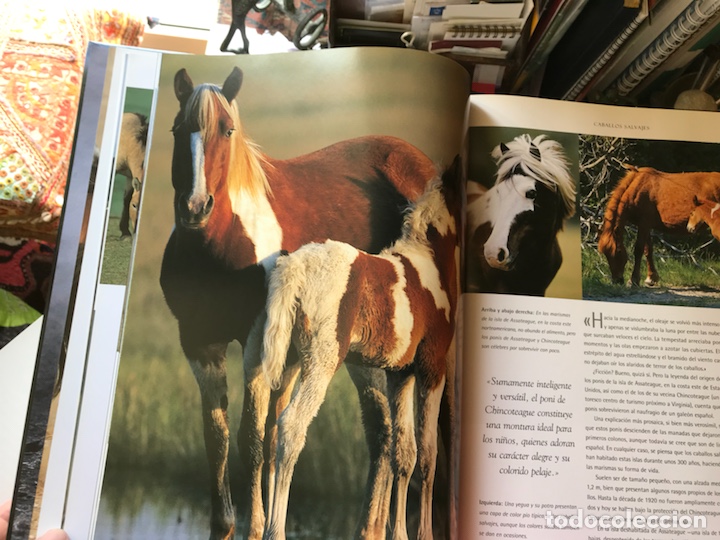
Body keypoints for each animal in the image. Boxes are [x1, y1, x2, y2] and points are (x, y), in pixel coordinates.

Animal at [253, 163, 459, 540]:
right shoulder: (431, 367)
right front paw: (424, 534)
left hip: (289, 362)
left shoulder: (400, 375)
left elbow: (403, 453)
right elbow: (428, 454)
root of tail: (295, 269)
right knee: (292, 427)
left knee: (272, 430)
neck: (430, 266)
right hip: (321, 362)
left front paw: (399, 534)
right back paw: (276, 530)